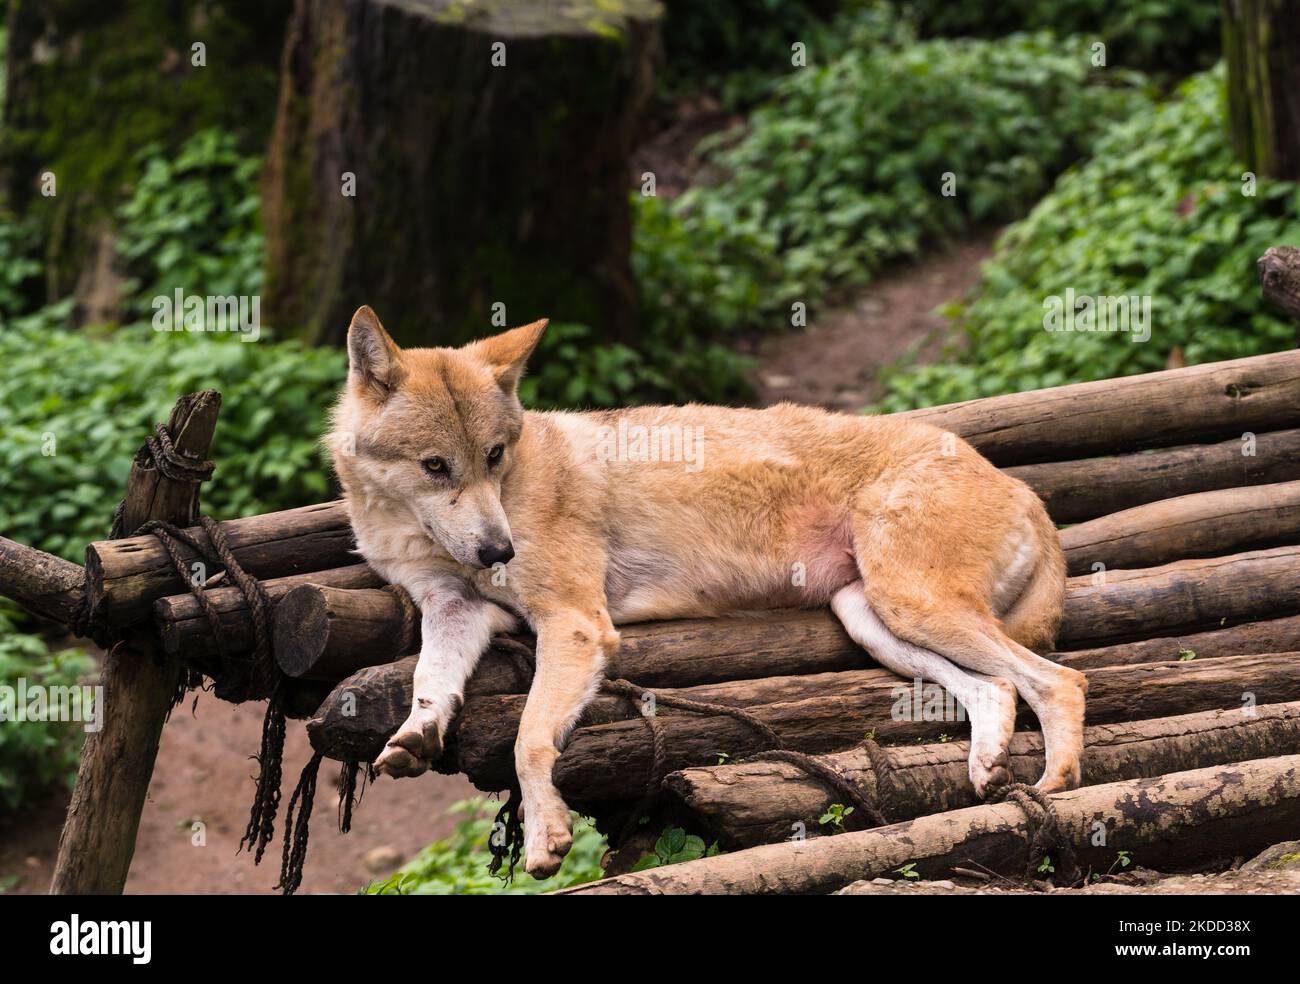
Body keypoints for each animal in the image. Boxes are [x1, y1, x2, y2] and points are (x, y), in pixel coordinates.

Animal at [330, 305, 1081, 873]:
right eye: (435, 466)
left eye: (493, 456)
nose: (499, 550)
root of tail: (1023, 489)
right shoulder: (453, 610)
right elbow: (430, 683)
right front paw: (415, 737)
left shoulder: (573, 623)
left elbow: (528, 739)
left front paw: (547, 836)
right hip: (872, 622)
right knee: (1000, 689)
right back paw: (990, 771)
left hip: (912, 608)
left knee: (1058, 681)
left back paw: (1058, 785)